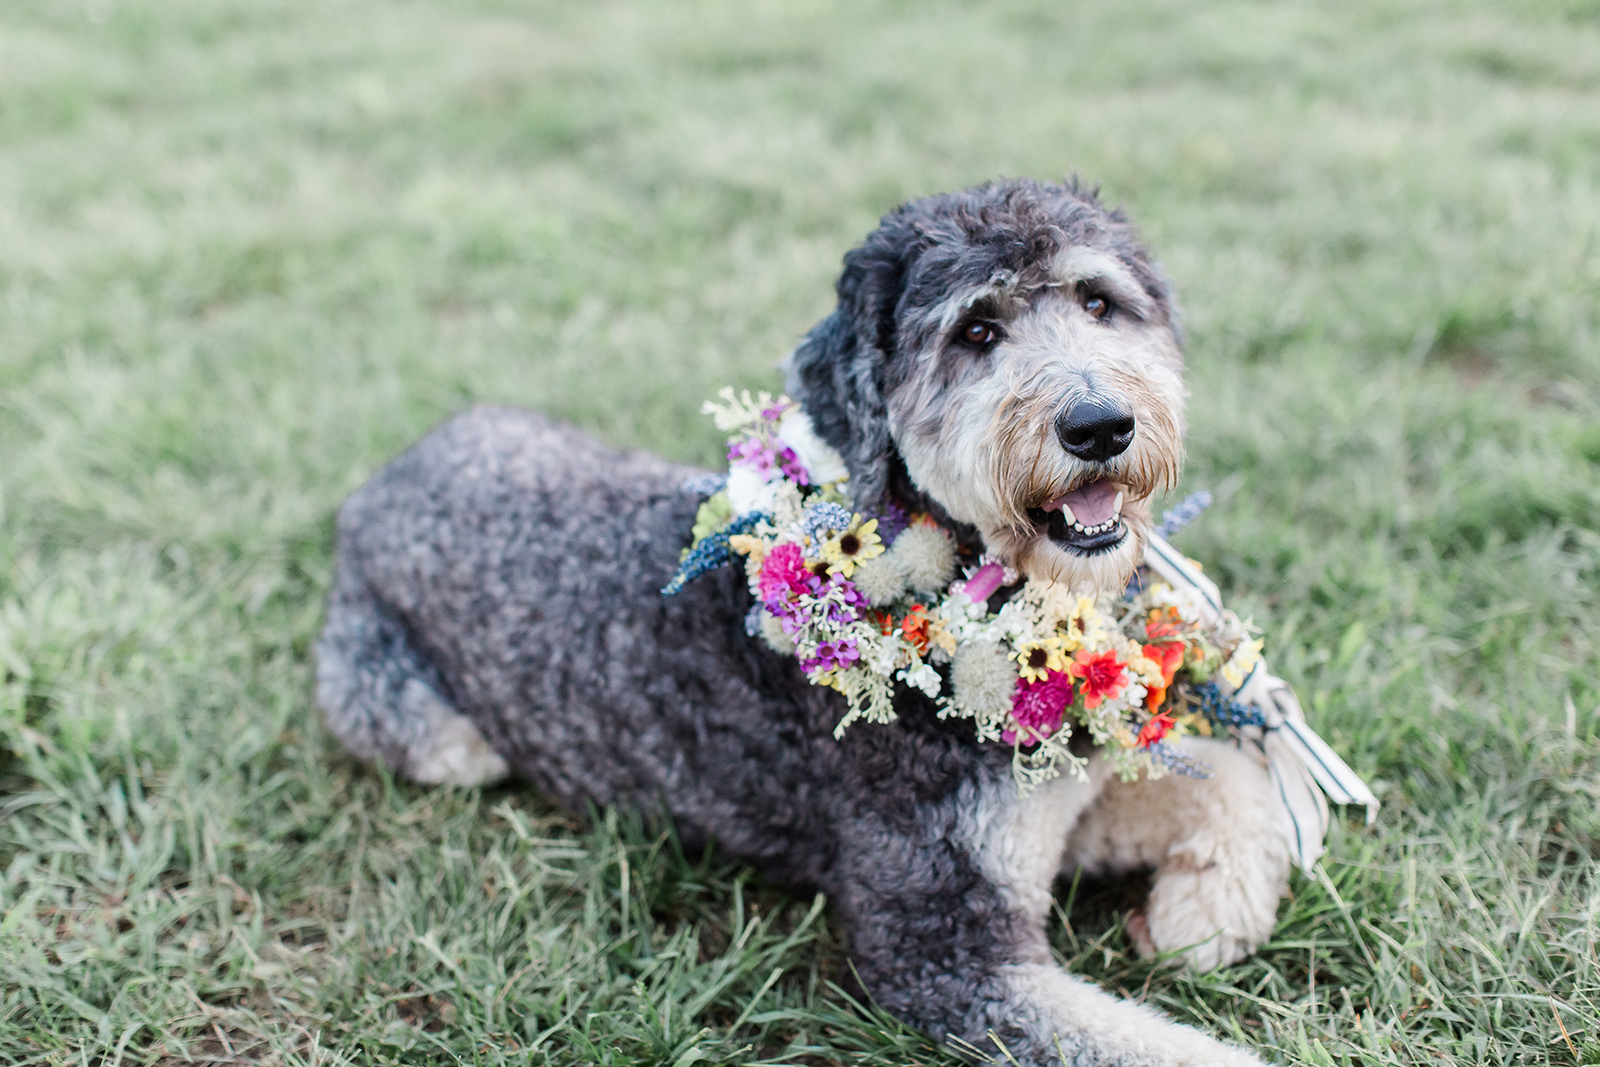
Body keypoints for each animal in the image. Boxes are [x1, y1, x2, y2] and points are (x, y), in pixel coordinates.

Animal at [318, 179, 1292, 1062]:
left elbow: (1233, 776)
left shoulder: (1060, 797)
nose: (1101, 424)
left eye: (1099, 302)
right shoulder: (944, 945)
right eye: (975, 332)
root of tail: (378, 484)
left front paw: (1197, 912)